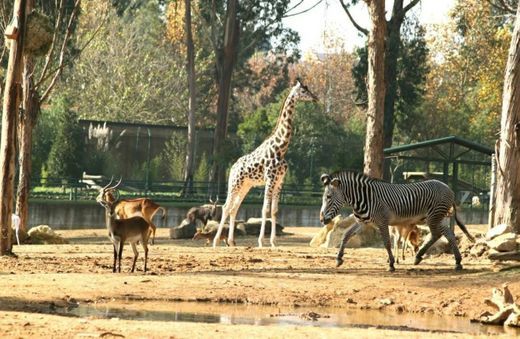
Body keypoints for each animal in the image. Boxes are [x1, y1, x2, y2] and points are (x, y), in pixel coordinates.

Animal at [213, 79, 318, 250]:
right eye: (303, 91)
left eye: (309, 90)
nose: (315, 98)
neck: (281, 148)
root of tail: (233, 168)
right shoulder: (270, 180)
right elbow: (264, 210)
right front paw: (261, 241)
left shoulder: (280, 181)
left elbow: (274, 211)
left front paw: (274, 242)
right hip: (234, 184)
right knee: (226, 207)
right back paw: (216, 242)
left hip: (246, 186)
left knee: (234, 208)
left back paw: (231, 242)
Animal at [316, 171, 476, 272]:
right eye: (324, 197)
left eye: (328, 197)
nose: (322, 219)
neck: (364, 198)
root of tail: (448, 188)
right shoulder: (362, 222)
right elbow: (346, 236)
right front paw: (339, 259)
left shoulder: (382, 221)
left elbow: (387, 242)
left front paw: (392, 264)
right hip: (436, 217)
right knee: (447, 234)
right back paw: (456, 262)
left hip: (433, 216)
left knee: (437, 234)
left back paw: (422, 256)